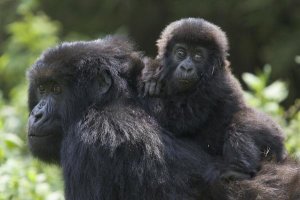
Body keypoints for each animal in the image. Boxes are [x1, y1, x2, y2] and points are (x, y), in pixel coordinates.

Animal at [142, 18, 288, 180]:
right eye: (180, 53)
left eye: (198, 56)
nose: (186, 68)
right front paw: (151, 70)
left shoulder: (212, 85)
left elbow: (178, 120)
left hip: (274, 136)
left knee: (243, 122)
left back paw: (237, 170)